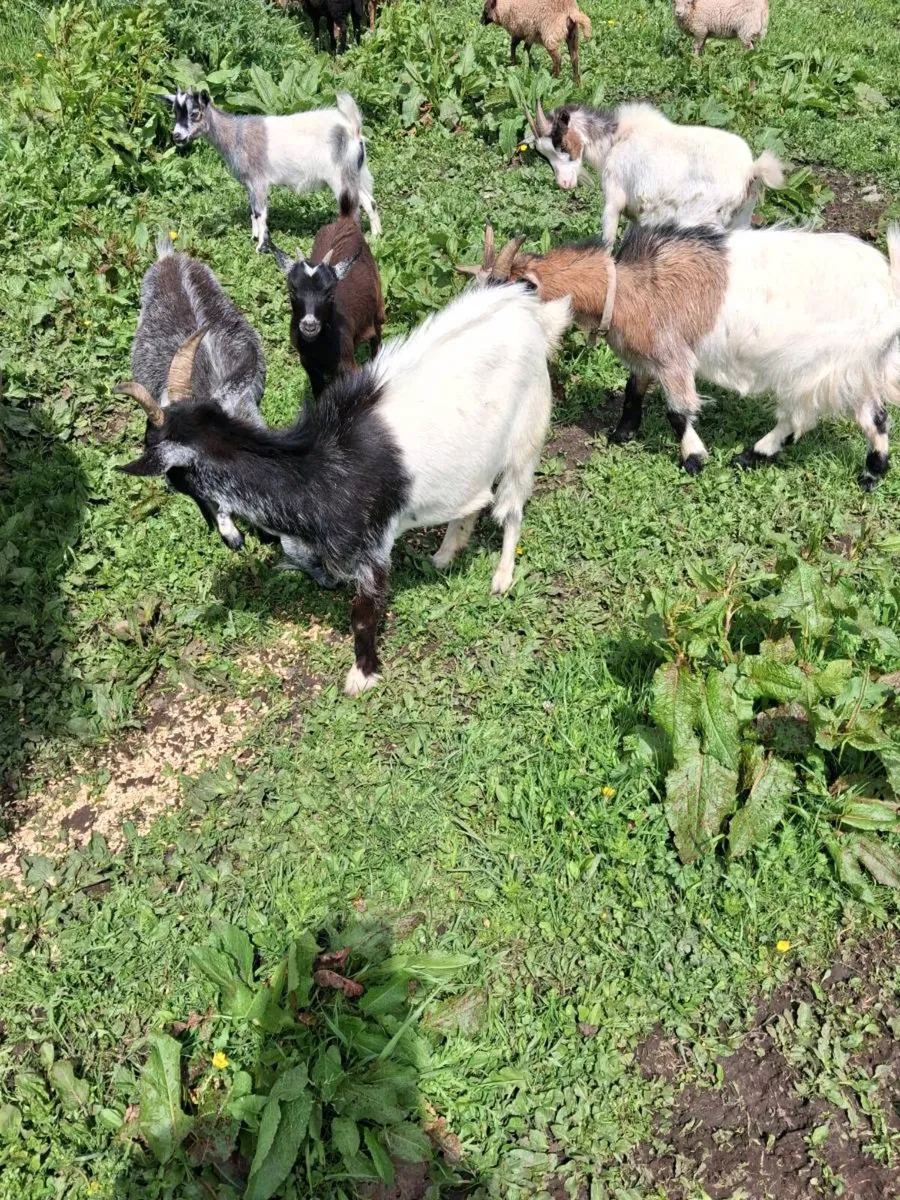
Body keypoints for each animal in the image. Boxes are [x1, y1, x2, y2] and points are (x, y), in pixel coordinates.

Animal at [117, 285, 572, 695]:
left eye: (174, 478)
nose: (229, 538)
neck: (317, 468)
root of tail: (533, 316)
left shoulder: (371, 545)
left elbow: (363, 613)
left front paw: (362, 676)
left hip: (526, 436)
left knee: (512, 509)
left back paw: (502, 577)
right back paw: (445, 554)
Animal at [159, 89, 381, 251]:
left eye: (195, 114)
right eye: (175, 113)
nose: (177, 136)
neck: (236, 135)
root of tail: (353, 129)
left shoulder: (259, 180)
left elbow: (260, 212)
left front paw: (261, 246)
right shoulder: (250, 184)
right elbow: (252, 212)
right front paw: (255, 236)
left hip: (339, 176)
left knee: (353, 207)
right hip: (353, 173)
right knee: (370, 202)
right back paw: (376, 236)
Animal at [271, 193, 385, 397]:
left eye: (331, 293)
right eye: (292, 290)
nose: (309, 325)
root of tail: (345, 220)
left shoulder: (346, 365)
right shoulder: (308, 364)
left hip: (378, 305)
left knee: (377, 334)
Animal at [461, 223, 900, 489]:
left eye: (505, 295)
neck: (630, 285)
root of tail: (886, 285)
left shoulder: (673, 356)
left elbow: (677, 410)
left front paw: (693, 458)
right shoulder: (647, 356)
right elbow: (633, 390)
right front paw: (622, 433)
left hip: (819, 364)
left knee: (801, 416)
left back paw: (753, 455)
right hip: (856, 363)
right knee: (874, 415)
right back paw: (871, 472)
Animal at [525, 100, 783, 245]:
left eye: (562, 144)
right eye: (544, 155)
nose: (564, 183)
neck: (616, 140)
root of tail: (751, 170)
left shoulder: (614, 198)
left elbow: (608, 241)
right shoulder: (638, 214)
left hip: (702, 220)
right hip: (740, 220)